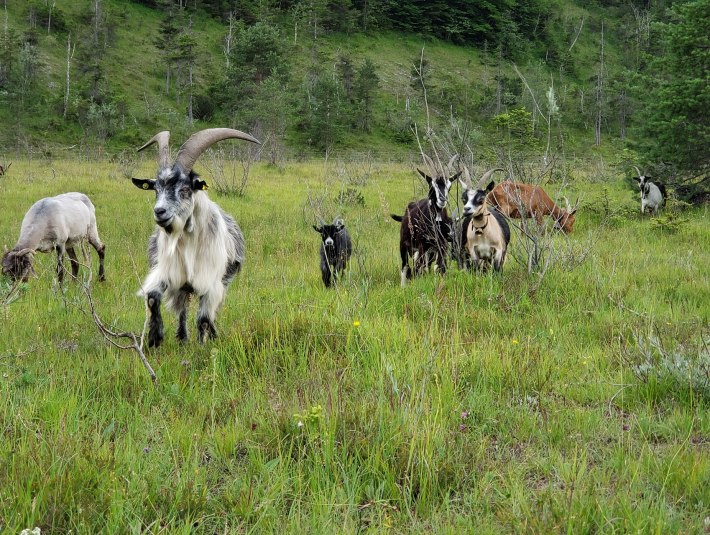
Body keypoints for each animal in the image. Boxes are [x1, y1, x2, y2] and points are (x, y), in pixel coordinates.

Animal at [131, 128, 259, 347]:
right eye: (156, 190)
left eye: (184, 189)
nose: (159, 212)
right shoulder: (168, 273)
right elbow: (153, 297)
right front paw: (155, 337)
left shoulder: (211, 282)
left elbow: (204, 318)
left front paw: (201, 346)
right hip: (184, 287)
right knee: (183, 310)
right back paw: (183, 338)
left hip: (222, 282)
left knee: (209, 312)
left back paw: (210, 336)